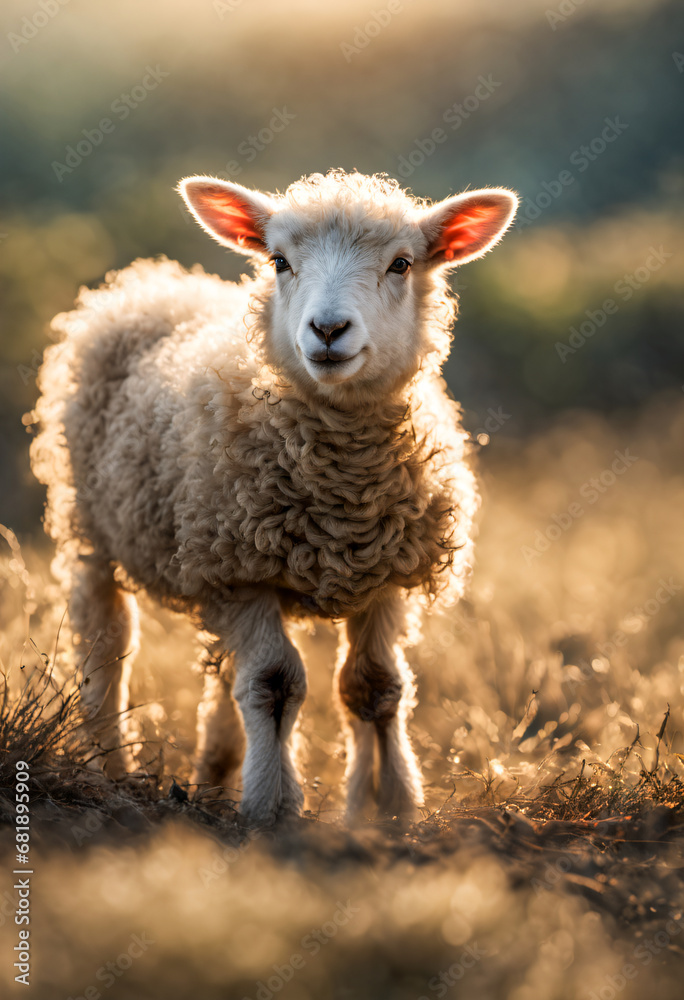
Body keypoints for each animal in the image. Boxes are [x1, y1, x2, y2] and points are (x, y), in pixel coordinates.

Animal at [30, 169, 517, 823]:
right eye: (280, 261)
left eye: (402, 264)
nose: (329, 330)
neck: (342, 494)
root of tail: (149, 281)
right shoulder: (242, 574)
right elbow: (274, 682)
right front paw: (272, 805)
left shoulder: (386, 577)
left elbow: (373, 685)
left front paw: (384, 807)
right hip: (92, 529)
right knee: (107, 643)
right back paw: (110, 765)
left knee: (222, 669)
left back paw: (212, 773)